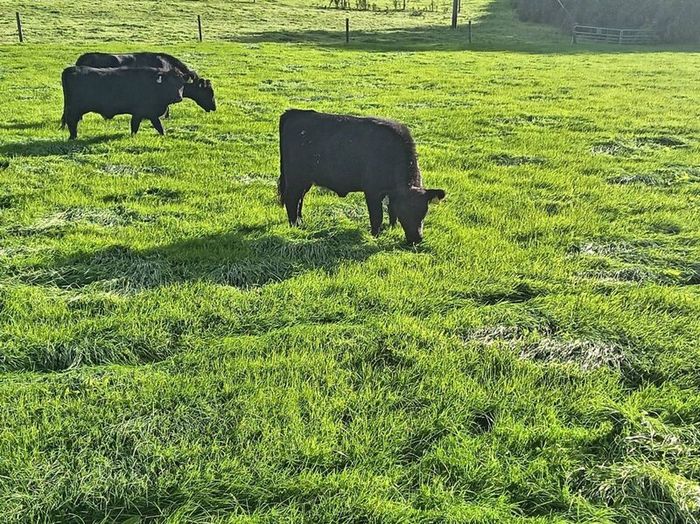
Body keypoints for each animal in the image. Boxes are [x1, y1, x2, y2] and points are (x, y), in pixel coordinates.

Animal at [278, 109, 446, 244]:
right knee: (291, 199)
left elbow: (391, 211)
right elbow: (377, 216)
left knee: (299, 200)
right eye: (405, 211)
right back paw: (295, 226)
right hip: (295, 179)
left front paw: (392, 228)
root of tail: (293, 113)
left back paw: (300, 222)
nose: (416, 239)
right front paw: (375, 236)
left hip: (304, 181)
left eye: (424, 211)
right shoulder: (372, 191)